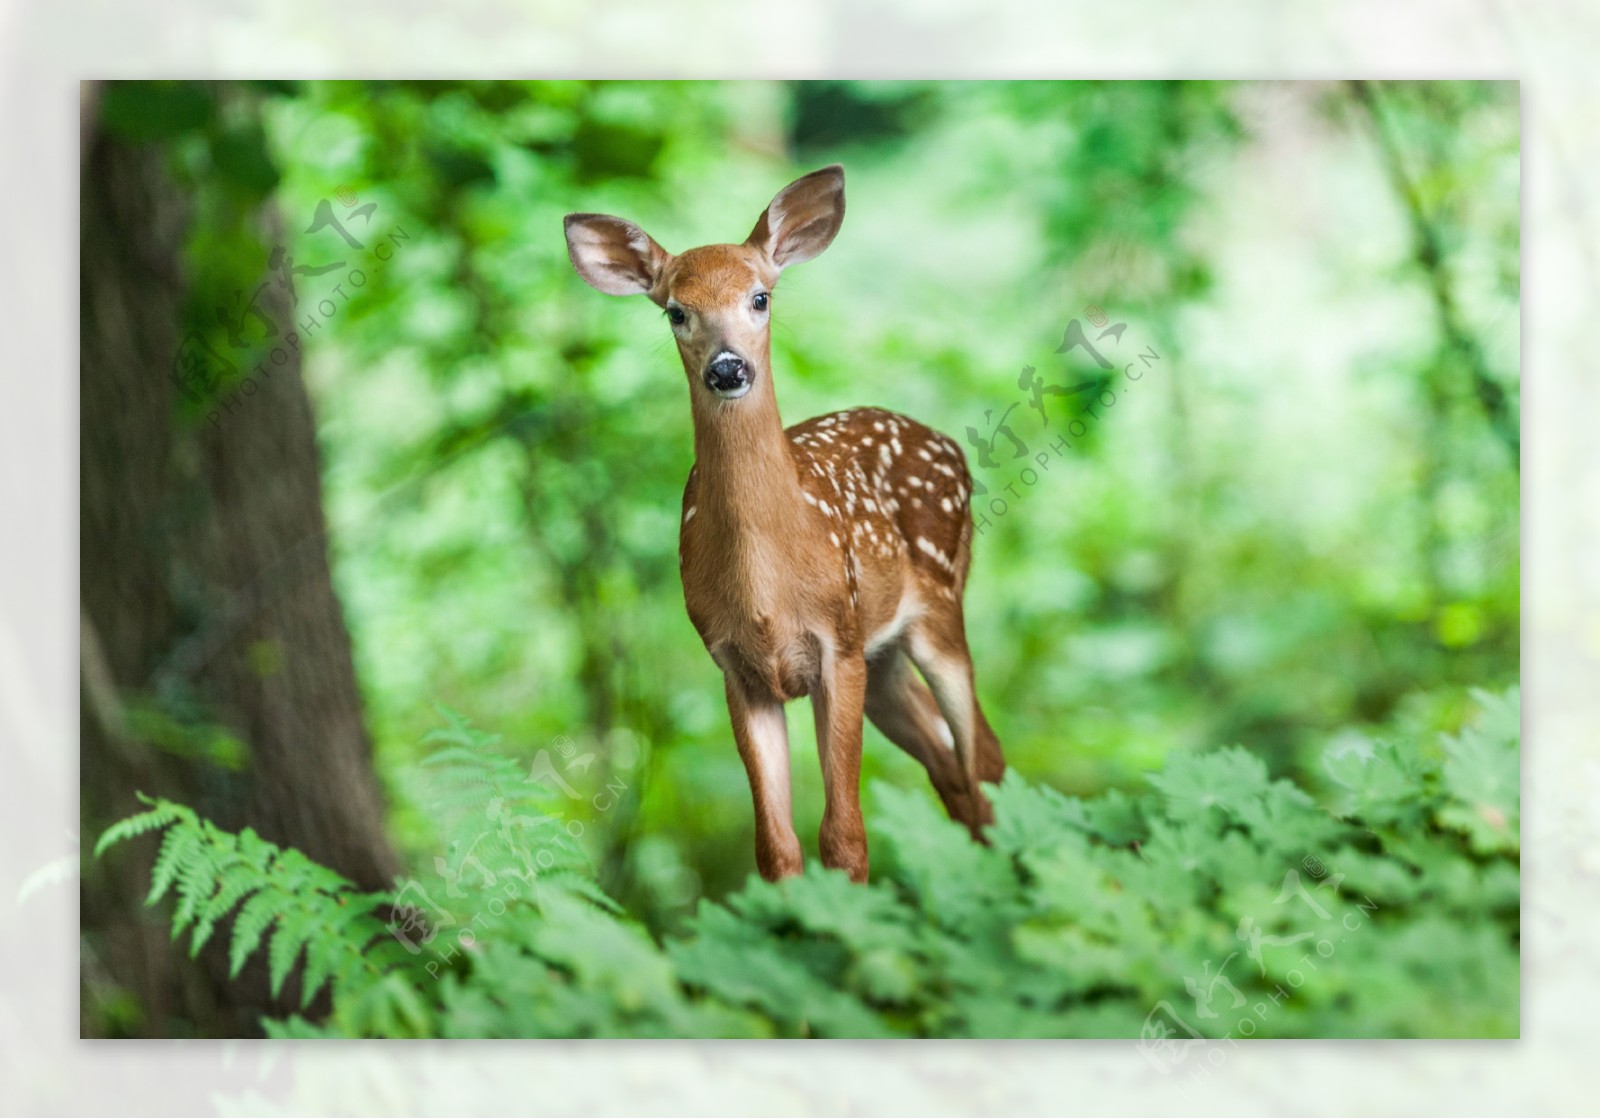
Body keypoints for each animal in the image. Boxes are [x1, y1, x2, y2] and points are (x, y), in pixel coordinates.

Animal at [566, 166, 998, 883]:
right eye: (675, 311)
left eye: (760, 297)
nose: (727, 367)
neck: (767, 587)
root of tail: (948, 445)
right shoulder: (735, 666)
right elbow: (776, 847)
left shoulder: (837, 644)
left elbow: (844, 837)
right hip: (884, 659)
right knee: (951, 766)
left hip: (938, 605)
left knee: (983, 756)